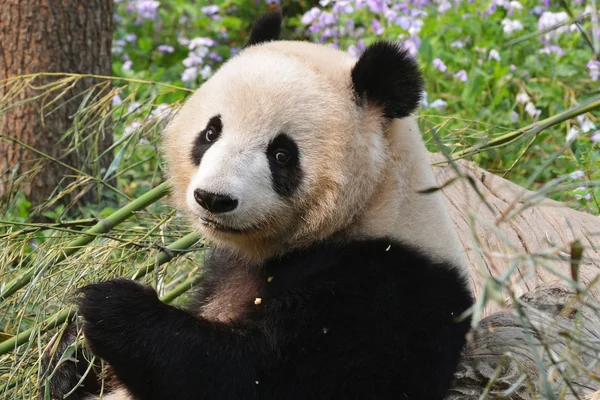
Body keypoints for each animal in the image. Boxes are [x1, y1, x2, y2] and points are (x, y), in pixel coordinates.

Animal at [41, 10, 474, 398]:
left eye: (282, 154)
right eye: (211, 132)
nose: (213, 199)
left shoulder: (386, 290)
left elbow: (264, 376)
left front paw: (112, 307)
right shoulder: (222, 270)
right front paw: (69, 355)